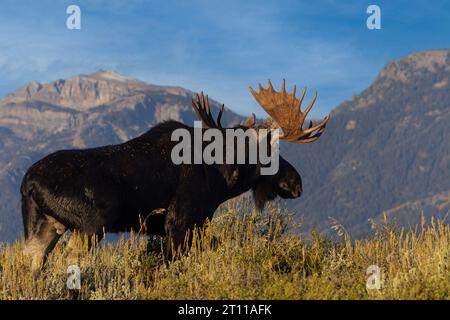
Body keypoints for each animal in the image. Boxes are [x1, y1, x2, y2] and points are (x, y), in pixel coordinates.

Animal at [21, 80, 328, 270]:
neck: (222, 178)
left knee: (33, 263)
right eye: (269, 150)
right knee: (67, 261)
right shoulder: (179, 222)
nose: (297, 182)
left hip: (43, 226)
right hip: (92, 223)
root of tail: (28, 183)